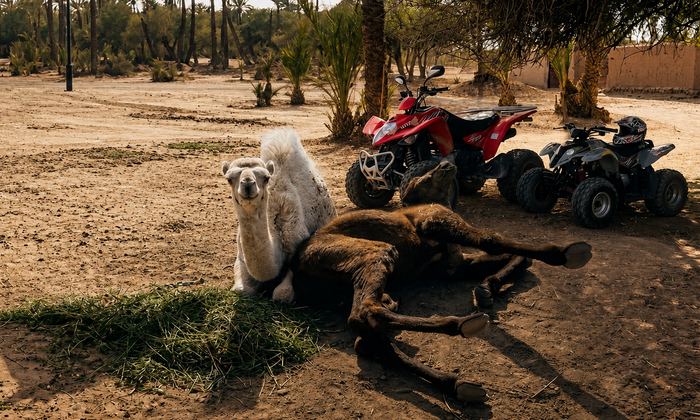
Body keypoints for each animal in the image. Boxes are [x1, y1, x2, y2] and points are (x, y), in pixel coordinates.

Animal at [221, 128, 336, 303]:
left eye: (266, 177)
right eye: (229, 179)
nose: (248, 184)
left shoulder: (297, 248)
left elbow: (282, 294)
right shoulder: (240, 257)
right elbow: (240, 289)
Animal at [224, 157, 592, 403]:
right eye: (423, 177)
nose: (446, 163)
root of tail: (297, 267)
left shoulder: (452, 266)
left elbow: (511, 258)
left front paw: (487, 289)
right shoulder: (439, 221)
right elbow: (494, 240)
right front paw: (565, 252)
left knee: (366, 336)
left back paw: (456, 382)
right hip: (377, 252)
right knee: (365, 315)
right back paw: (462, 326)